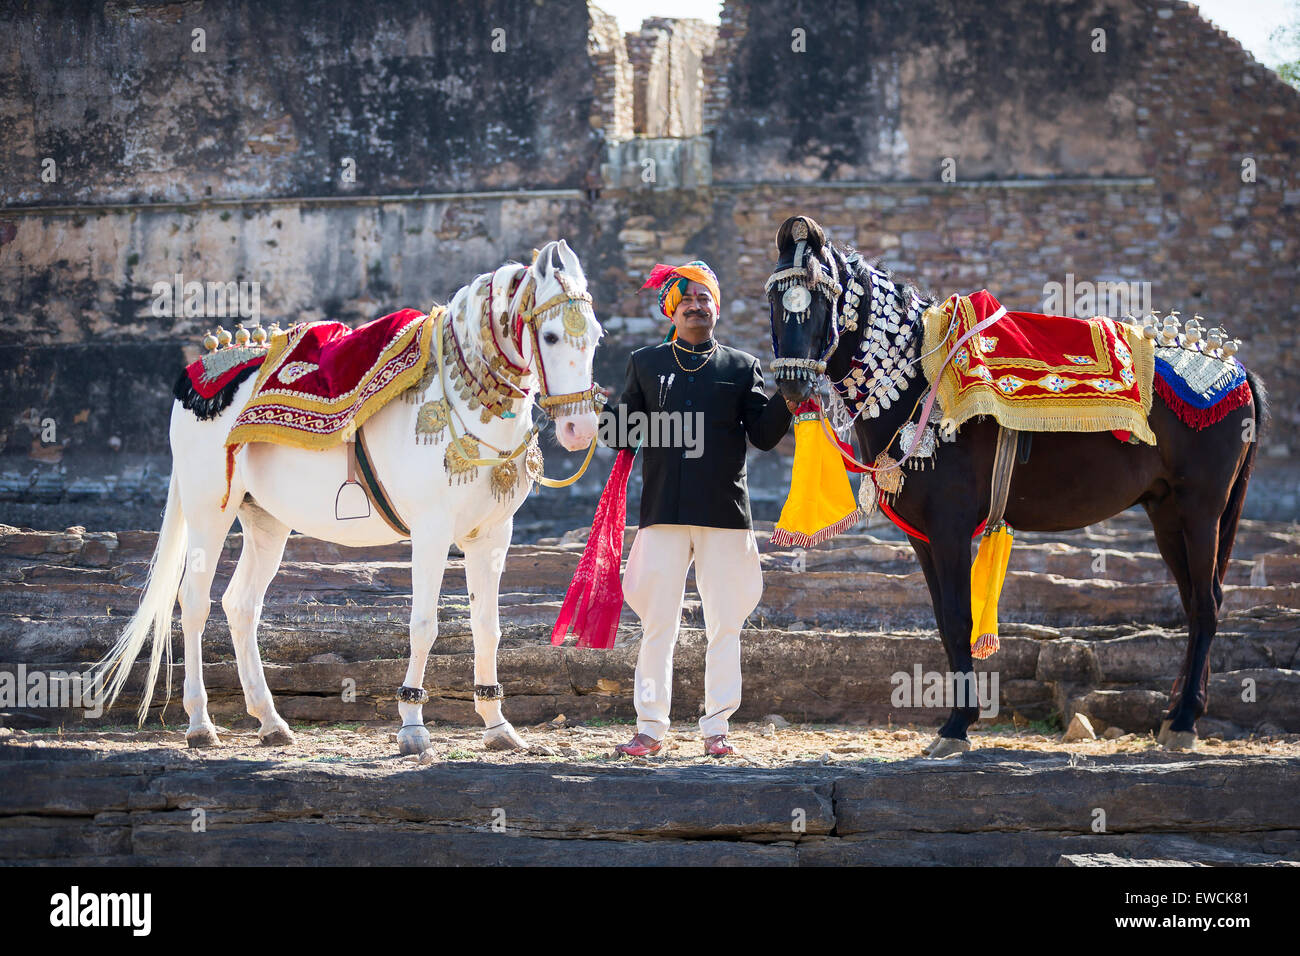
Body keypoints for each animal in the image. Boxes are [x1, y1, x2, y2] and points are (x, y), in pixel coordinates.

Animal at [96, 239, 603, 754]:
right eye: (552, 336)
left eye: (598, 337)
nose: (580, 429)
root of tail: (201, 370)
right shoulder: (432, 531)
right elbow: (425, 624)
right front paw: (412, 725)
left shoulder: (493, 535)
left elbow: (487, 627)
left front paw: (498, 725)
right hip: (208, 510)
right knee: (194, 602)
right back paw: (200, 723)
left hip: (265, 520)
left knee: (241, 605)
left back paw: (270, 720)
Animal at [764, 214, 1263, 754]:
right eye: (774, 298)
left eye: (822, 296)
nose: (791, 385)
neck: (920, 383)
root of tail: (1236, 371)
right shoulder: (925, 538)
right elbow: (943, 622)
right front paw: (958, 720)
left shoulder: (950, 528)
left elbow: (959, 618)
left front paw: (957, 726)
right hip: (1166, 511)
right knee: (1195, 601)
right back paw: (1176, 715)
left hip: (1201, 508)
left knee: (1207, 605)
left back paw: (1187, 719)